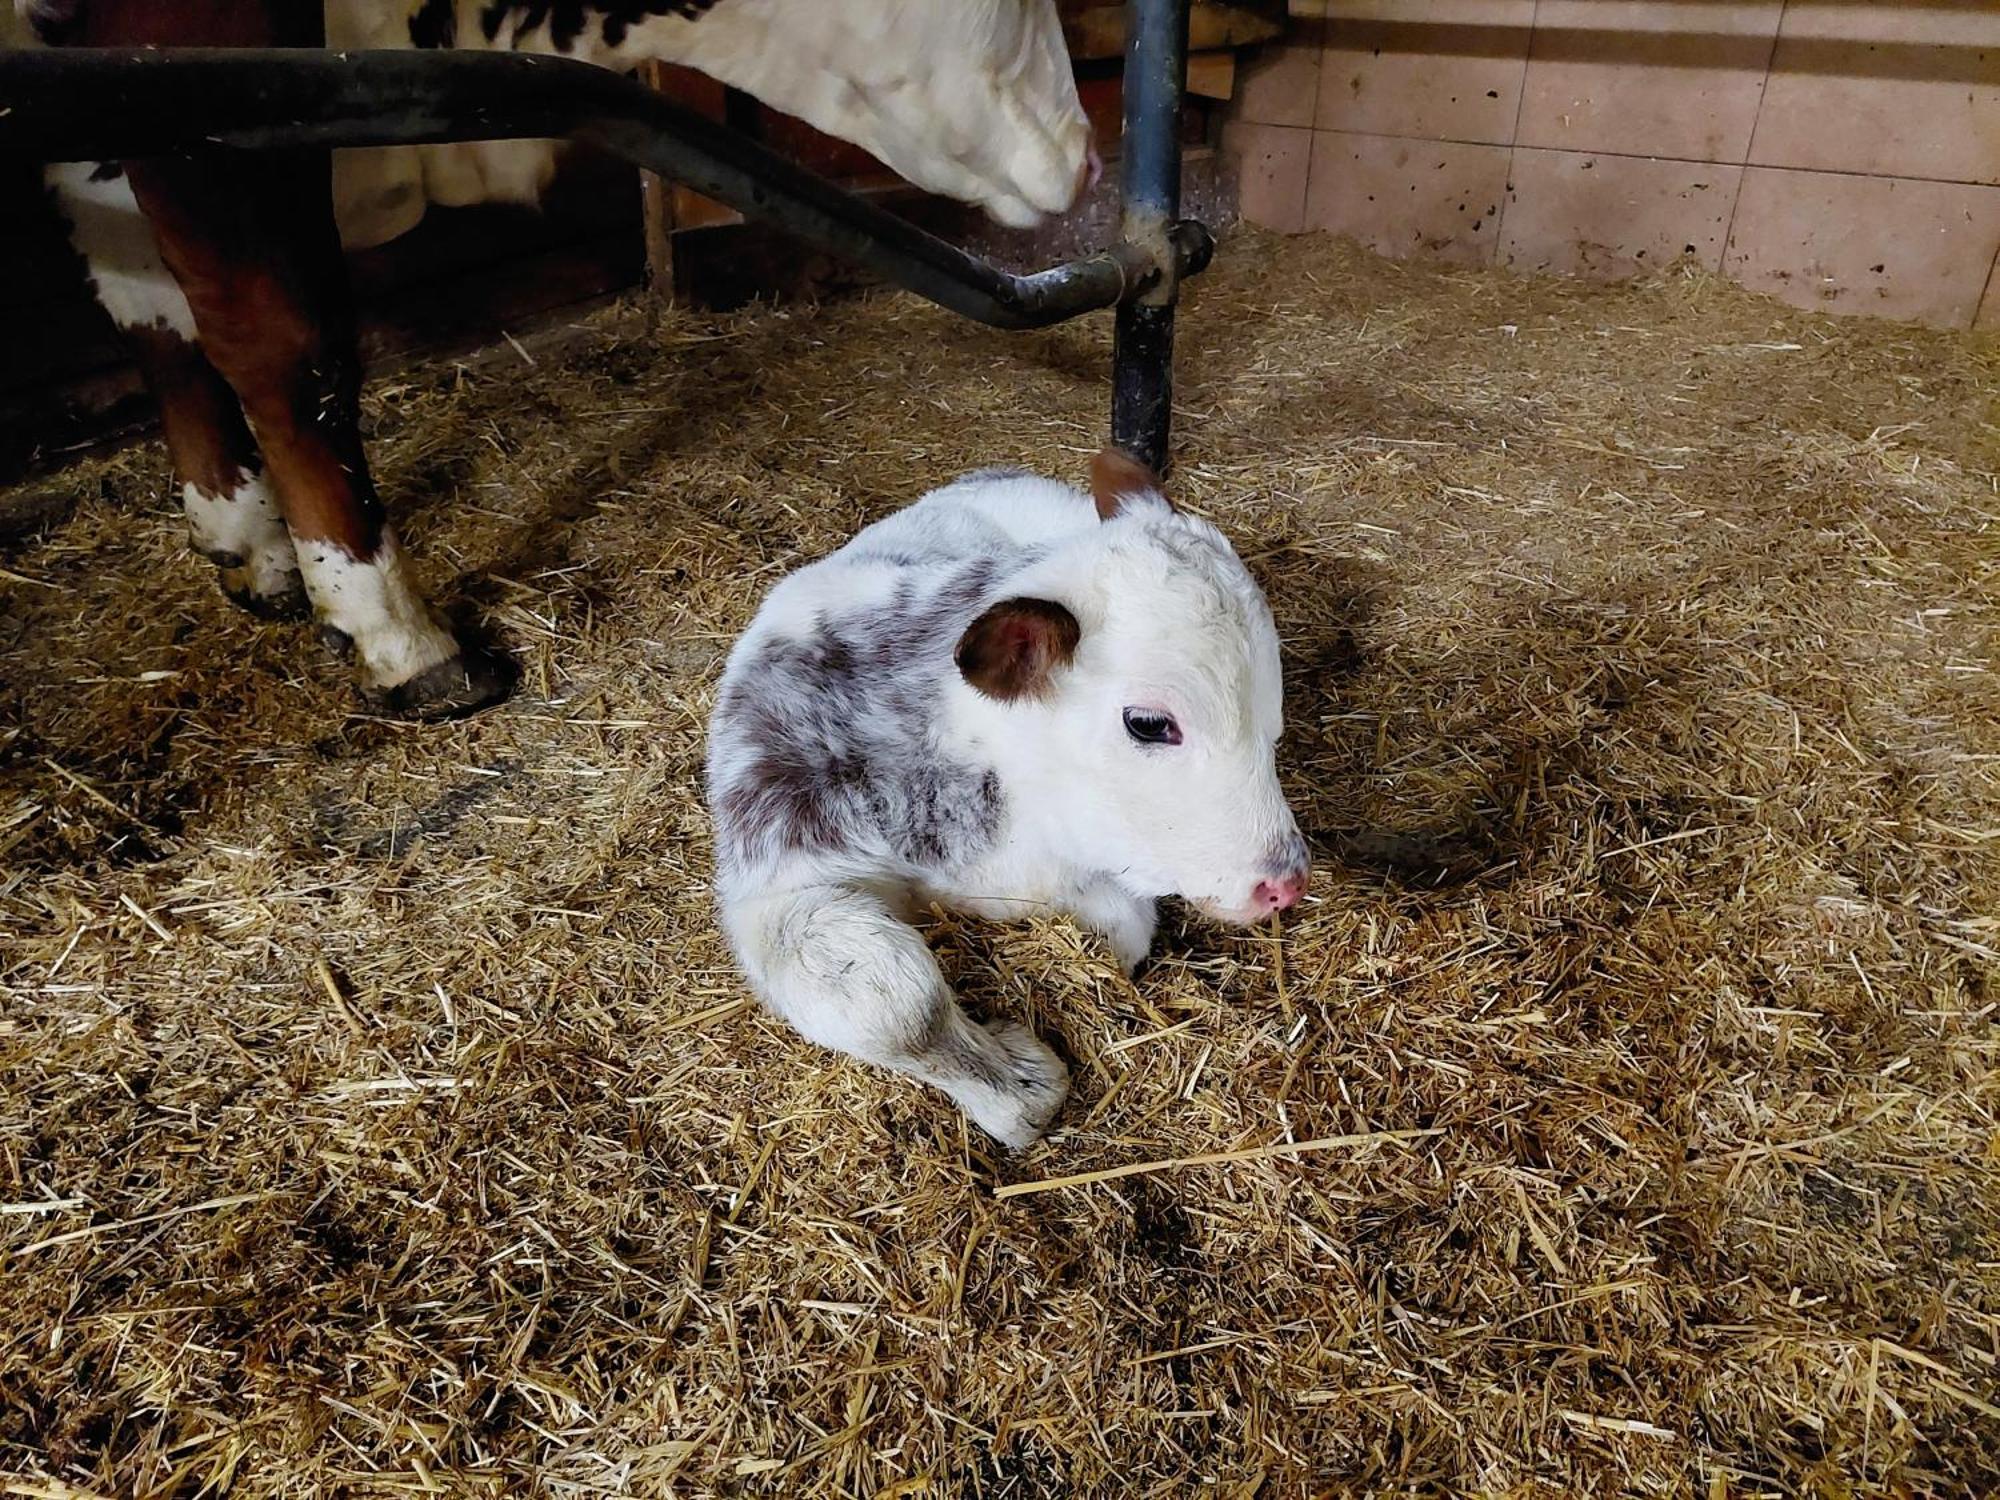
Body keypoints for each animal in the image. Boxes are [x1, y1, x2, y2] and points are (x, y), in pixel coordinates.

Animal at [704, 450, 1312, 1152]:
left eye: (1272, 705)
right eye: (1148, 724)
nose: (1285, 883)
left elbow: (1118, 929)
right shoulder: (775, 864)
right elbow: (895, 1008)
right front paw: (1021, 1087)